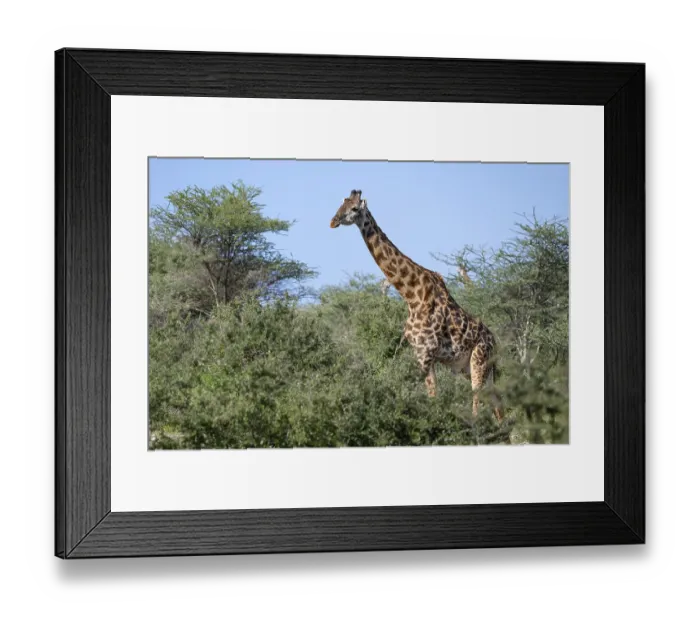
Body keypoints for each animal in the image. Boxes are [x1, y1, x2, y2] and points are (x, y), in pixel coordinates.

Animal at [330, 190, 503, 421]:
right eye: (341, 204)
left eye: (354, 208)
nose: (333, 221)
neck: (412, 295)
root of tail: (495, 342)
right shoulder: (419, 355)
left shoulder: (425, 354)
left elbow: (433, 397)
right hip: (474, 367)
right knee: (498, 405)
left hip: (479, 360)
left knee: (477, 399)